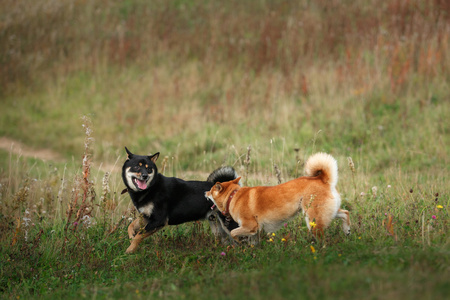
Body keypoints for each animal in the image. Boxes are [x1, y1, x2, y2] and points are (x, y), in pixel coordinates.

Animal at [206, 154, 350, 240]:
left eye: (211, 190)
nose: (205, 192)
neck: (233, 196)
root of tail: (322, 179)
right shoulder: (255, 231)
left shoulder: (250, 226)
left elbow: (233, 232)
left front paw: (238, 241)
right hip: (327, 213)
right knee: (345, 213)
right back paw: (347, 230)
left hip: (313, 220)